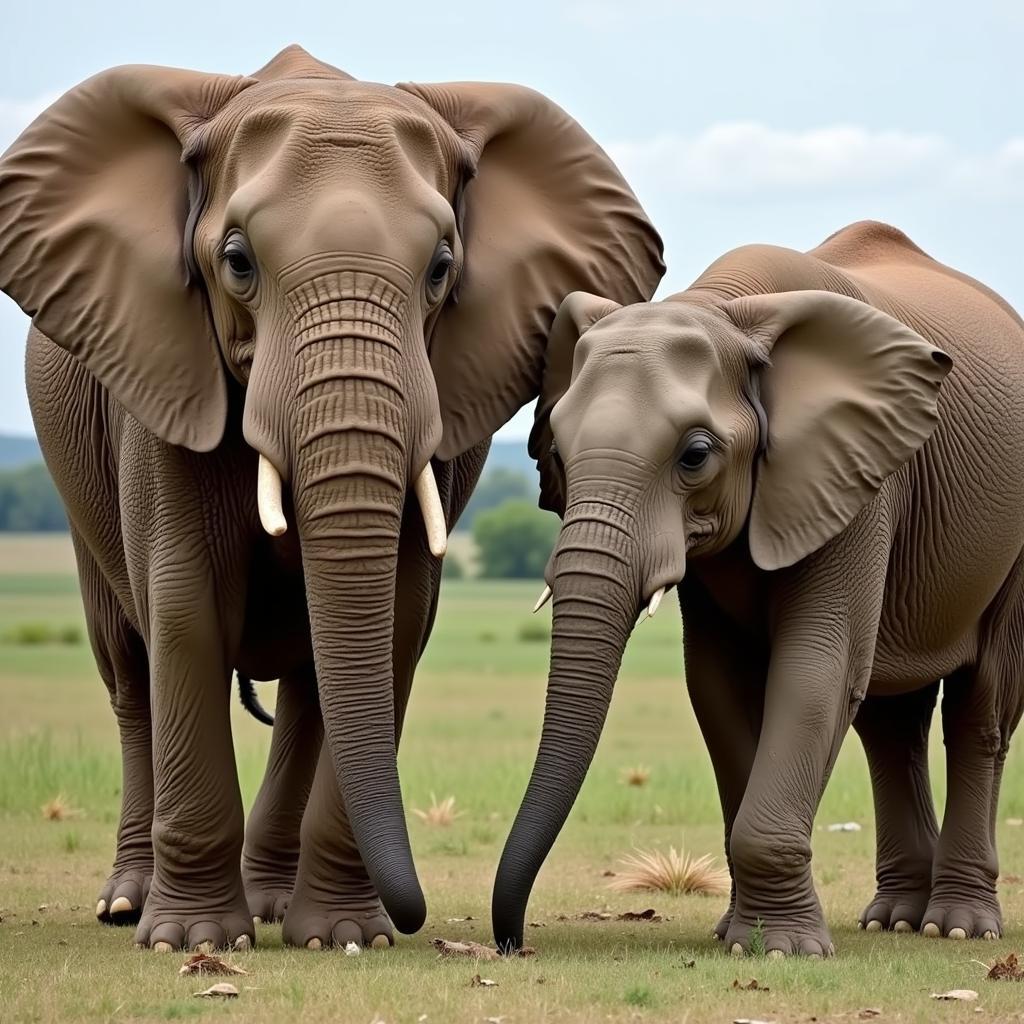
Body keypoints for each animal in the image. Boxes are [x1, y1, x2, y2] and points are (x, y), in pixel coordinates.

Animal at [0, 41, 663, 950]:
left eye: (442, 267)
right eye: (237, 261)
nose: (434, 919)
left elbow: (395, 617)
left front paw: (347, 935)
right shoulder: (165, 378)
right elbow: (185, 607)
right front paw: (196, 941)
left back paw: (281, 909)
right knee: (127, 664)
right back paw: (130, 904)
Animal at [487, 220, 1024, 954]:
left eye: (695, 455)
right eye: (557, 456)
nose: (512, 942)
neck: (724, 309)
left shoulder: (859, 478)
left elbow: (816, 669)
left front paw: (782, 948)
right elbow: (717, 683)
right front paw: (738, 935)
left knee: (981, 709)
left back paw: (957, 928)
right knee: (890, 721)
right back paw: (893, 919)